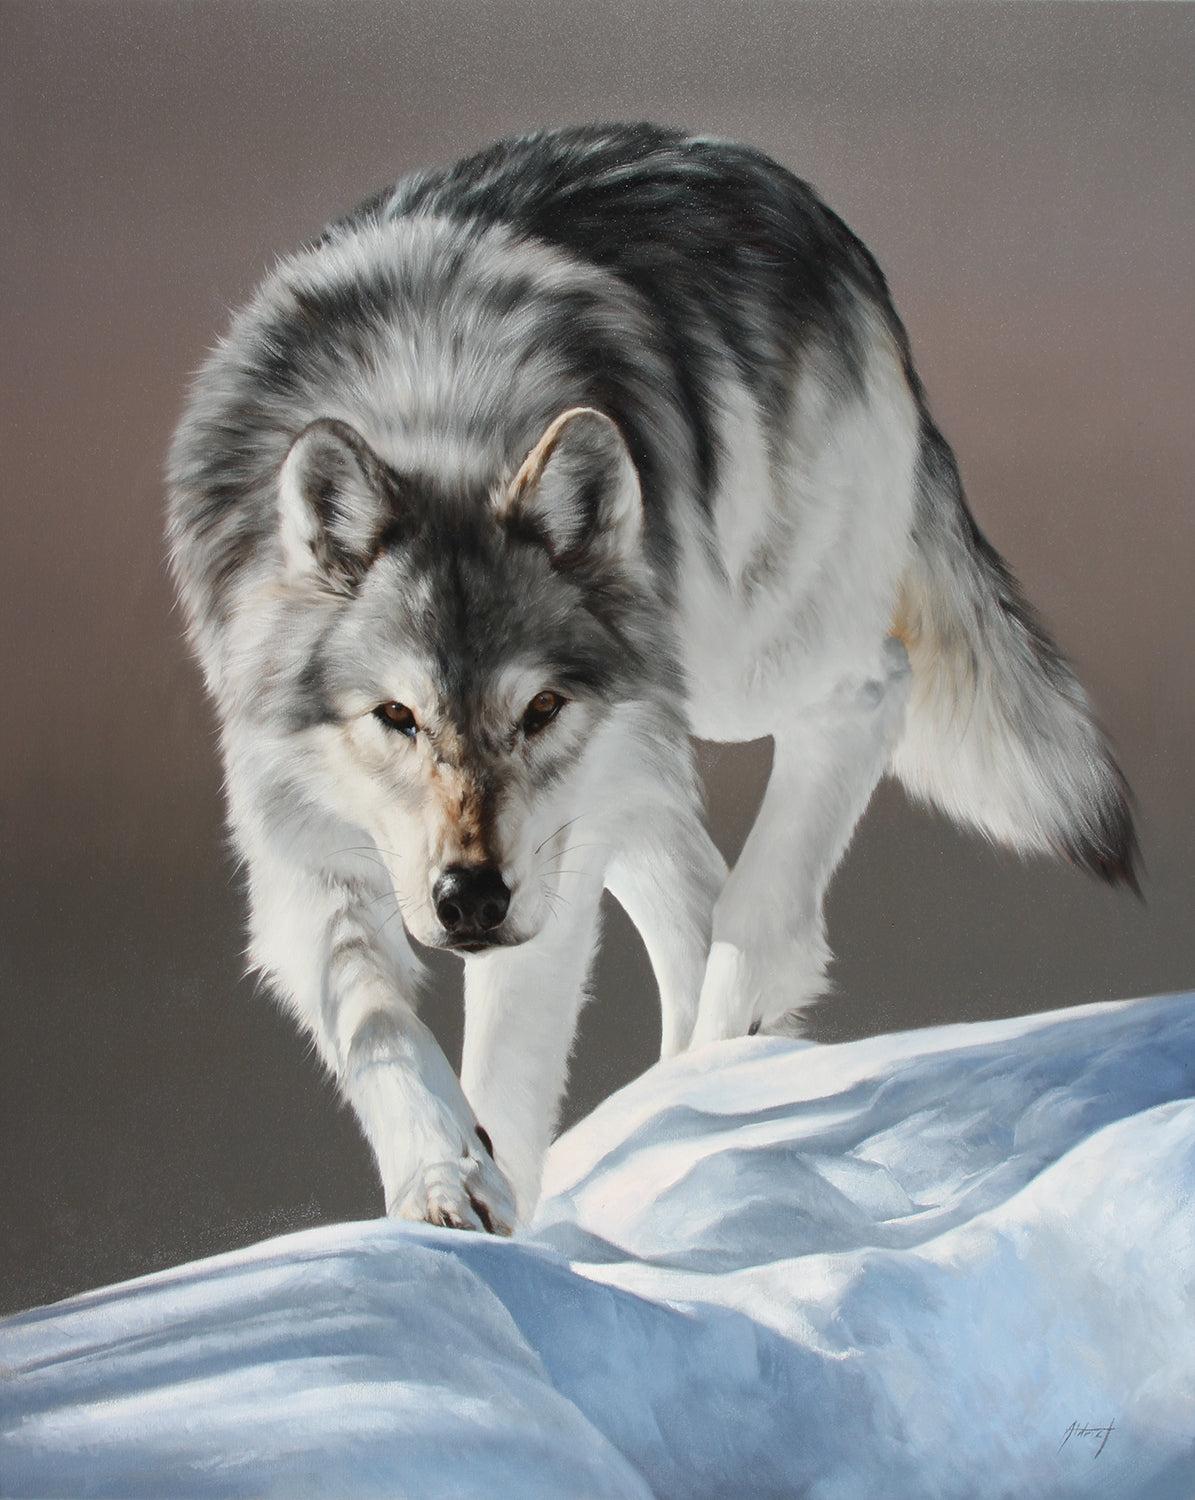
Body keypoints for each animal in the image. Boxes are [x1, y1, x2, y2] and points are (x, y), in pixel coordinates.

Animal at [167, 123, 1136, 1234]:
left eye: (539, 708)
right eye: (396, 717)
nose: (468, 899)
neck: (429, 410)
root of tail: (802, 203)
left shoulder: (543, 874)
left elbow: (506, 1068)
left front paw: (510, 1219)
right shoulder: (300, 846)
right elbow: (380, 1029)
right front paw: (444, 1183)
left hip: (719, 671)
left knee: (863, 697)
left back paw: (724, 1035)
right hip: (624, 769)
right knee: (694, 894)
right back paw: (703, 1075)